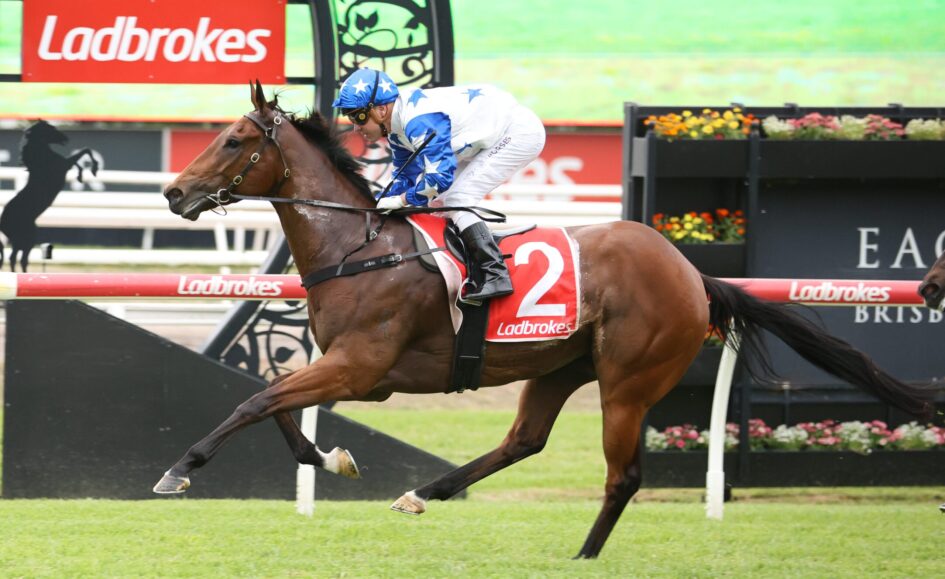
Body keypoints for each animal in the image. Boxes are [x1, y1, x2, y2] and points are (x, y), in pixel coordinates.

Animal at [0, 120, 98, 271]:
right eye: (50, 129)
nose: (66, 139)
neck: (40, 157)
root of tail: (1, 222)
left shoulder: (64, 164)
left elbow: (79, 159)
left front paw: (81, 176)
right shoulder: (64, 165)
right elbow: (84, 151)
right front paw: (94, 169)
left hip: (25, 238)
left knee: (17, 258)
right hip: (26, 238)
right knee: (18, 258)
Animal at [157, 82, 933, 558]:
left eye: (233, 140)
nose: (172, 193)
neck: (361, 246)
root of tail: (692, 273)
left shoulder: (361, 366)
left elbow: (255, 400)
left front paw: (178, 471)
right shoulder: (347, 368)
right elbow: (278, 406)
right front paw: (331, 459)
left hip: (628, 381)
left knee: (622, 475)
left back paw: (584, 552)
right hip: (559, 366)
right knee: (523, 440)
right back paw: (423, 493)